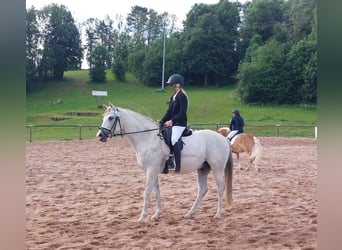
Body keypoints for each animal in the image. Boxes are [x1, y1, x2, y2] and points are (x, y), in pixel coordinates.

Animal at [97, 103, 234, 223]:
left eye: (110, 118)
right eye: (104, 117)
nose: (100, 135)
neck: (147, 138)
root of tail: (223, 138)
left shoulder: (151, 170)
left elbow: (147, 192)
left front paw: (142, 217)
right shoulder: (153, 171)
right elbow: (156, 191)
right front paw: (157, 214)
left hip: (217, 169)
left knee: (220, 188)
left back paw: (218, 214)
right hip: (203, 169)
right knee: (202, 190)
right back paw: (190, 213)